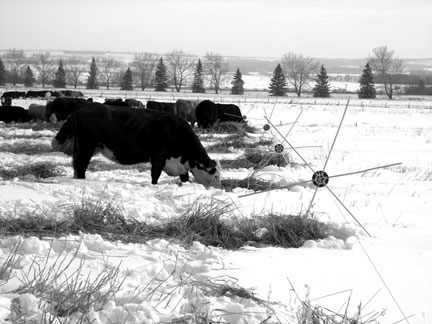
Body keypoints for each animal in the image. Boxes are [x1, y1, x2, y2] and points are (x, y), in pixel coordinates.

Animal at [53, 102, 223, 189]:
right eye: (216, 175)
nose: (219, 188)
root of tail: (79, 110)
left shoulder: (180, 165)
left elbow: (185, 178)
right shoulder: (158, 158)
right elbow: (155, 176)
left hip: (80, 147)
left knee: (76, 165)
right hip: (86, 147)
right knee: (81, 165)